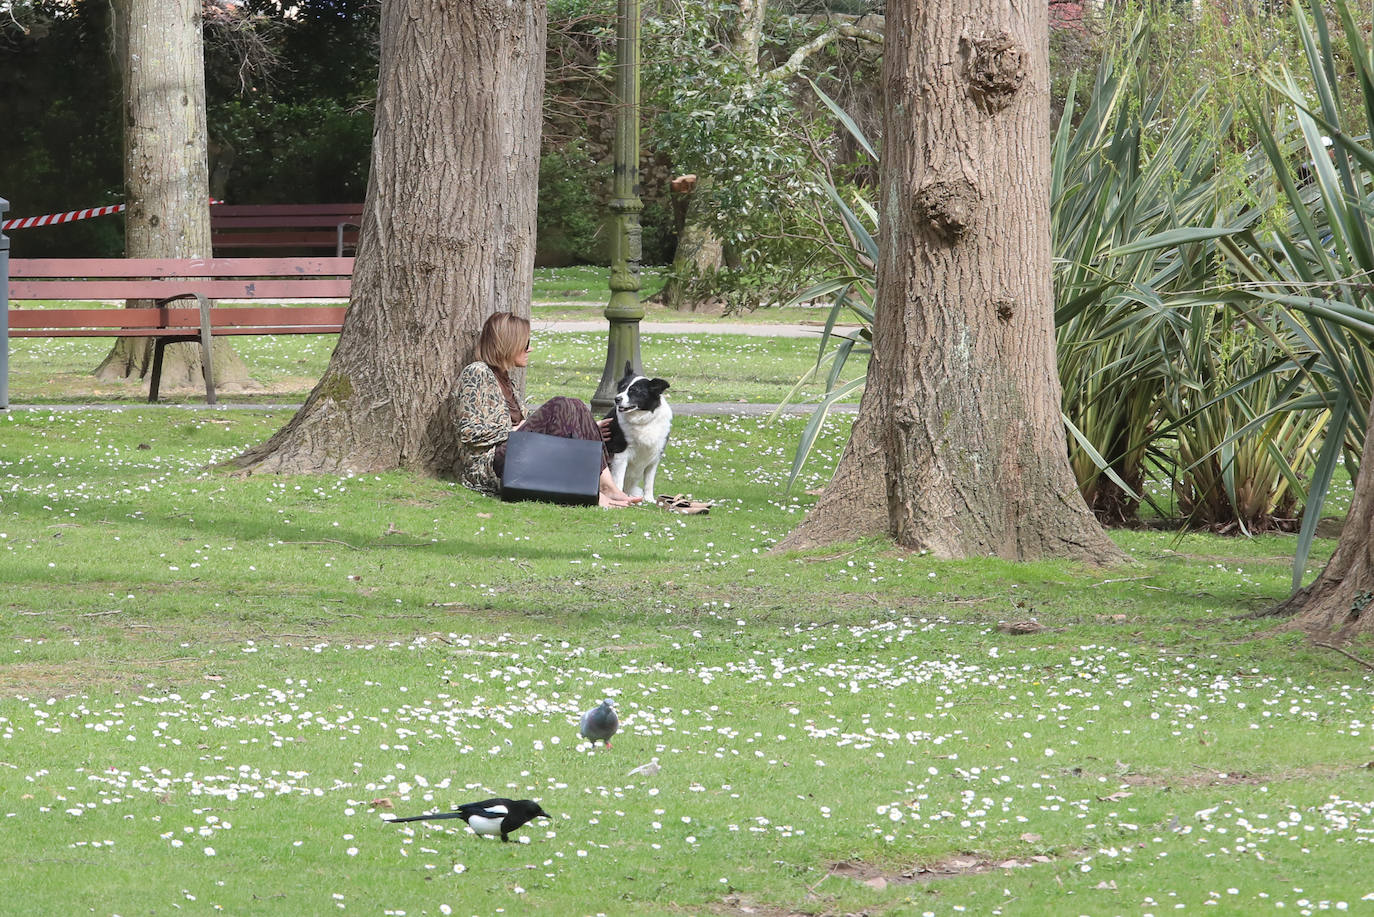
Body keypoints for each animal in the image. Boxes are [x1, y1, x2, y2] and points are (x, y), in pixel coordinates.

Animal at [604, 360, 673, 503]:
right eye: (621, 388)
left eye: (634, 390)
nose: (616, 399)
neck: (642, 420)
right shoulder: (621, 454)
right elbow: (618, 480)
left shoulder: (655, 455)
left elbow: (649, 482)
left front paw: (649, 499)